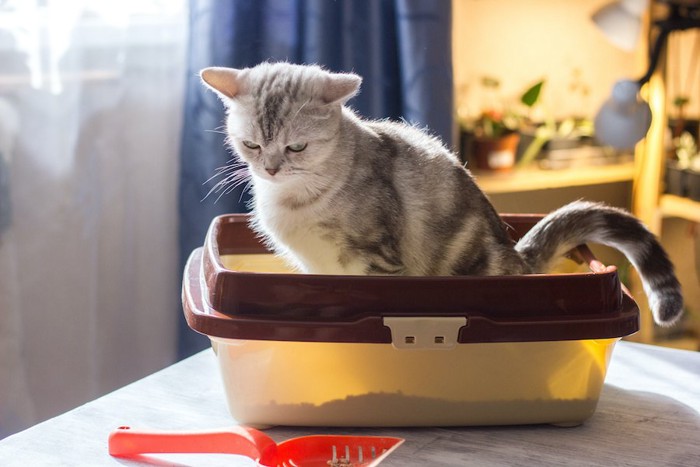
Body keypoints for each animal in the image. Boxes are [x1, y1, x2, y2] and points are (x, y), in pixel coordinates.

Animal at [200, 61, 680, 326]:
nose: (270, 168)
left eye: (296, 147)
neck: (295, 198)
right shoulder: (311, 267)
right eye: (251, 145)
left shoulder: (377, 260)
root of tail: (516, 258)